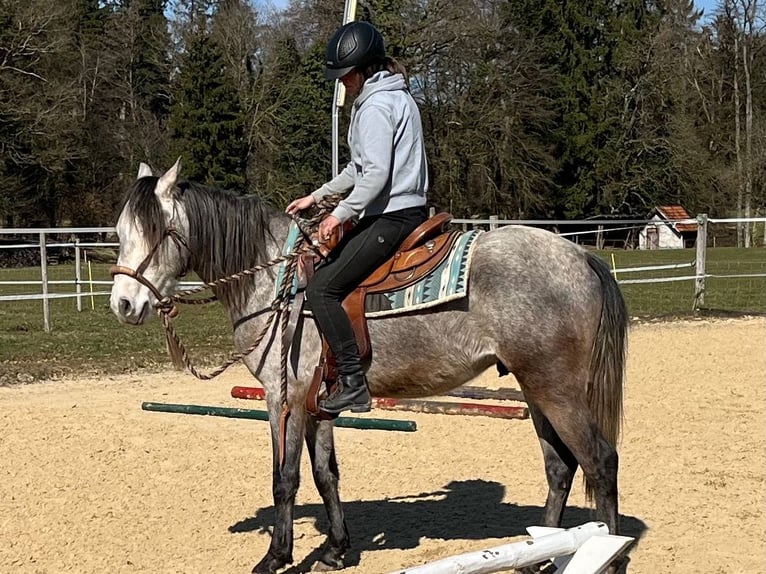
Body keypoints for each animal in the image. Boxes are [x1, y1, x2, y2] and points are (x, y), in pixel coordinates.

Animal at [112, 160, 632, 572]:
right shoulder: (319, 404)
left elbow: (286, 479)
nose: (123, 304)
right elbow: (326, 474)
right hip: (534, 387)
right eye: (119, 234)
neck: (275, 278)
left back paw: (607, 557)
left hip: (557, 389)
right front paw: (335, 550)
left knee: (600, 462)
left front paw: (276, 557)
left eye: (154, 233)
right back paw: (538, 556)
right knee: (560, 467)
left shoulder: (285, 397)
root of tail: (580, 255)